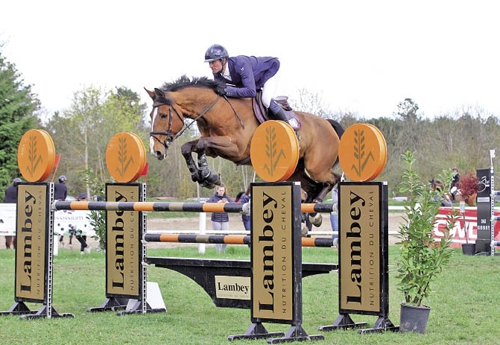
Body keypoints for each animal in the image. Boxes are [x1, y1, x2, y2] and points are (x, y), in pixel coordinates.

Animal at [146, 75, 346, 204]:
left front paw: (208, 176)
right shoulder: (215, 148)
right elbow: (188, 147)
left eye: (163, 115)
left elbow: (201, 144)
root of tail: (328, 124)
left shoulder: (236, 148)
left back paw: (318, 203)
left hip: (316, 166)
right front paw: (201, 175)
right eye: (150, 115)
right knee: (313, 186)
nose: (156, 151)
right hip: (295, 170)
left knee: (333, 178)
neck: (217, 110)